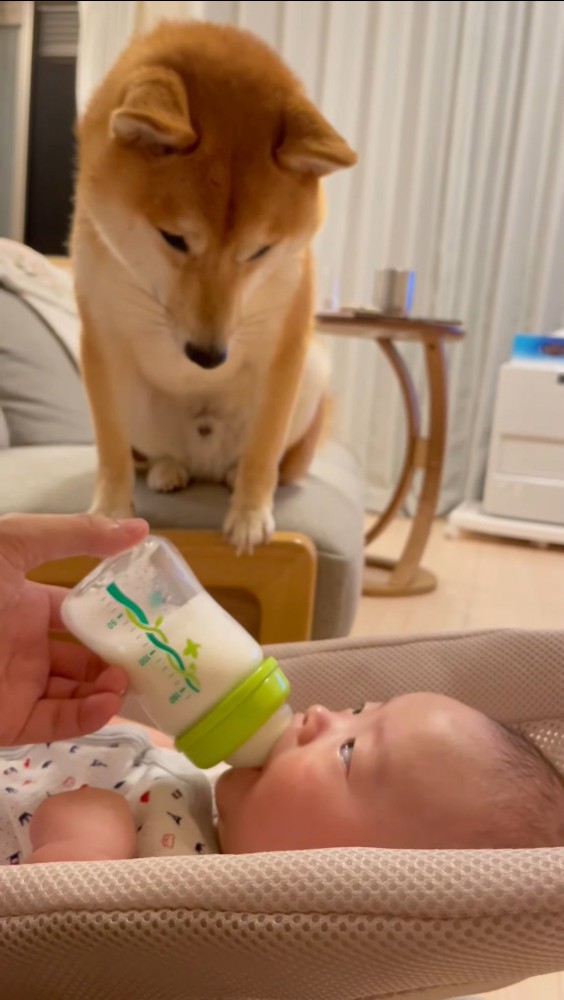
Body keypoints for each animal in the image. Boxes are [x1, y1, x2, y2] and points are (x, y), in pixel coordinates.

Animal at [72, 19, 354, 552]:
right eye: (174, 238)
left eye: (261, 251)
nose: (208, 358)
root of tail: (201, 463)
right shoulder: (101, 338)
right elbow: (111, 448)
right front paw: (113, 511)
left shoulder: (286, 344)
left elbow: (264, 447)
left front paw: (249, 515)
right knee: (153, 454)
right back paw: (168, 470)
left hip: (314, 371)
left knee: (259, 458)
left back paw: (228, 475)